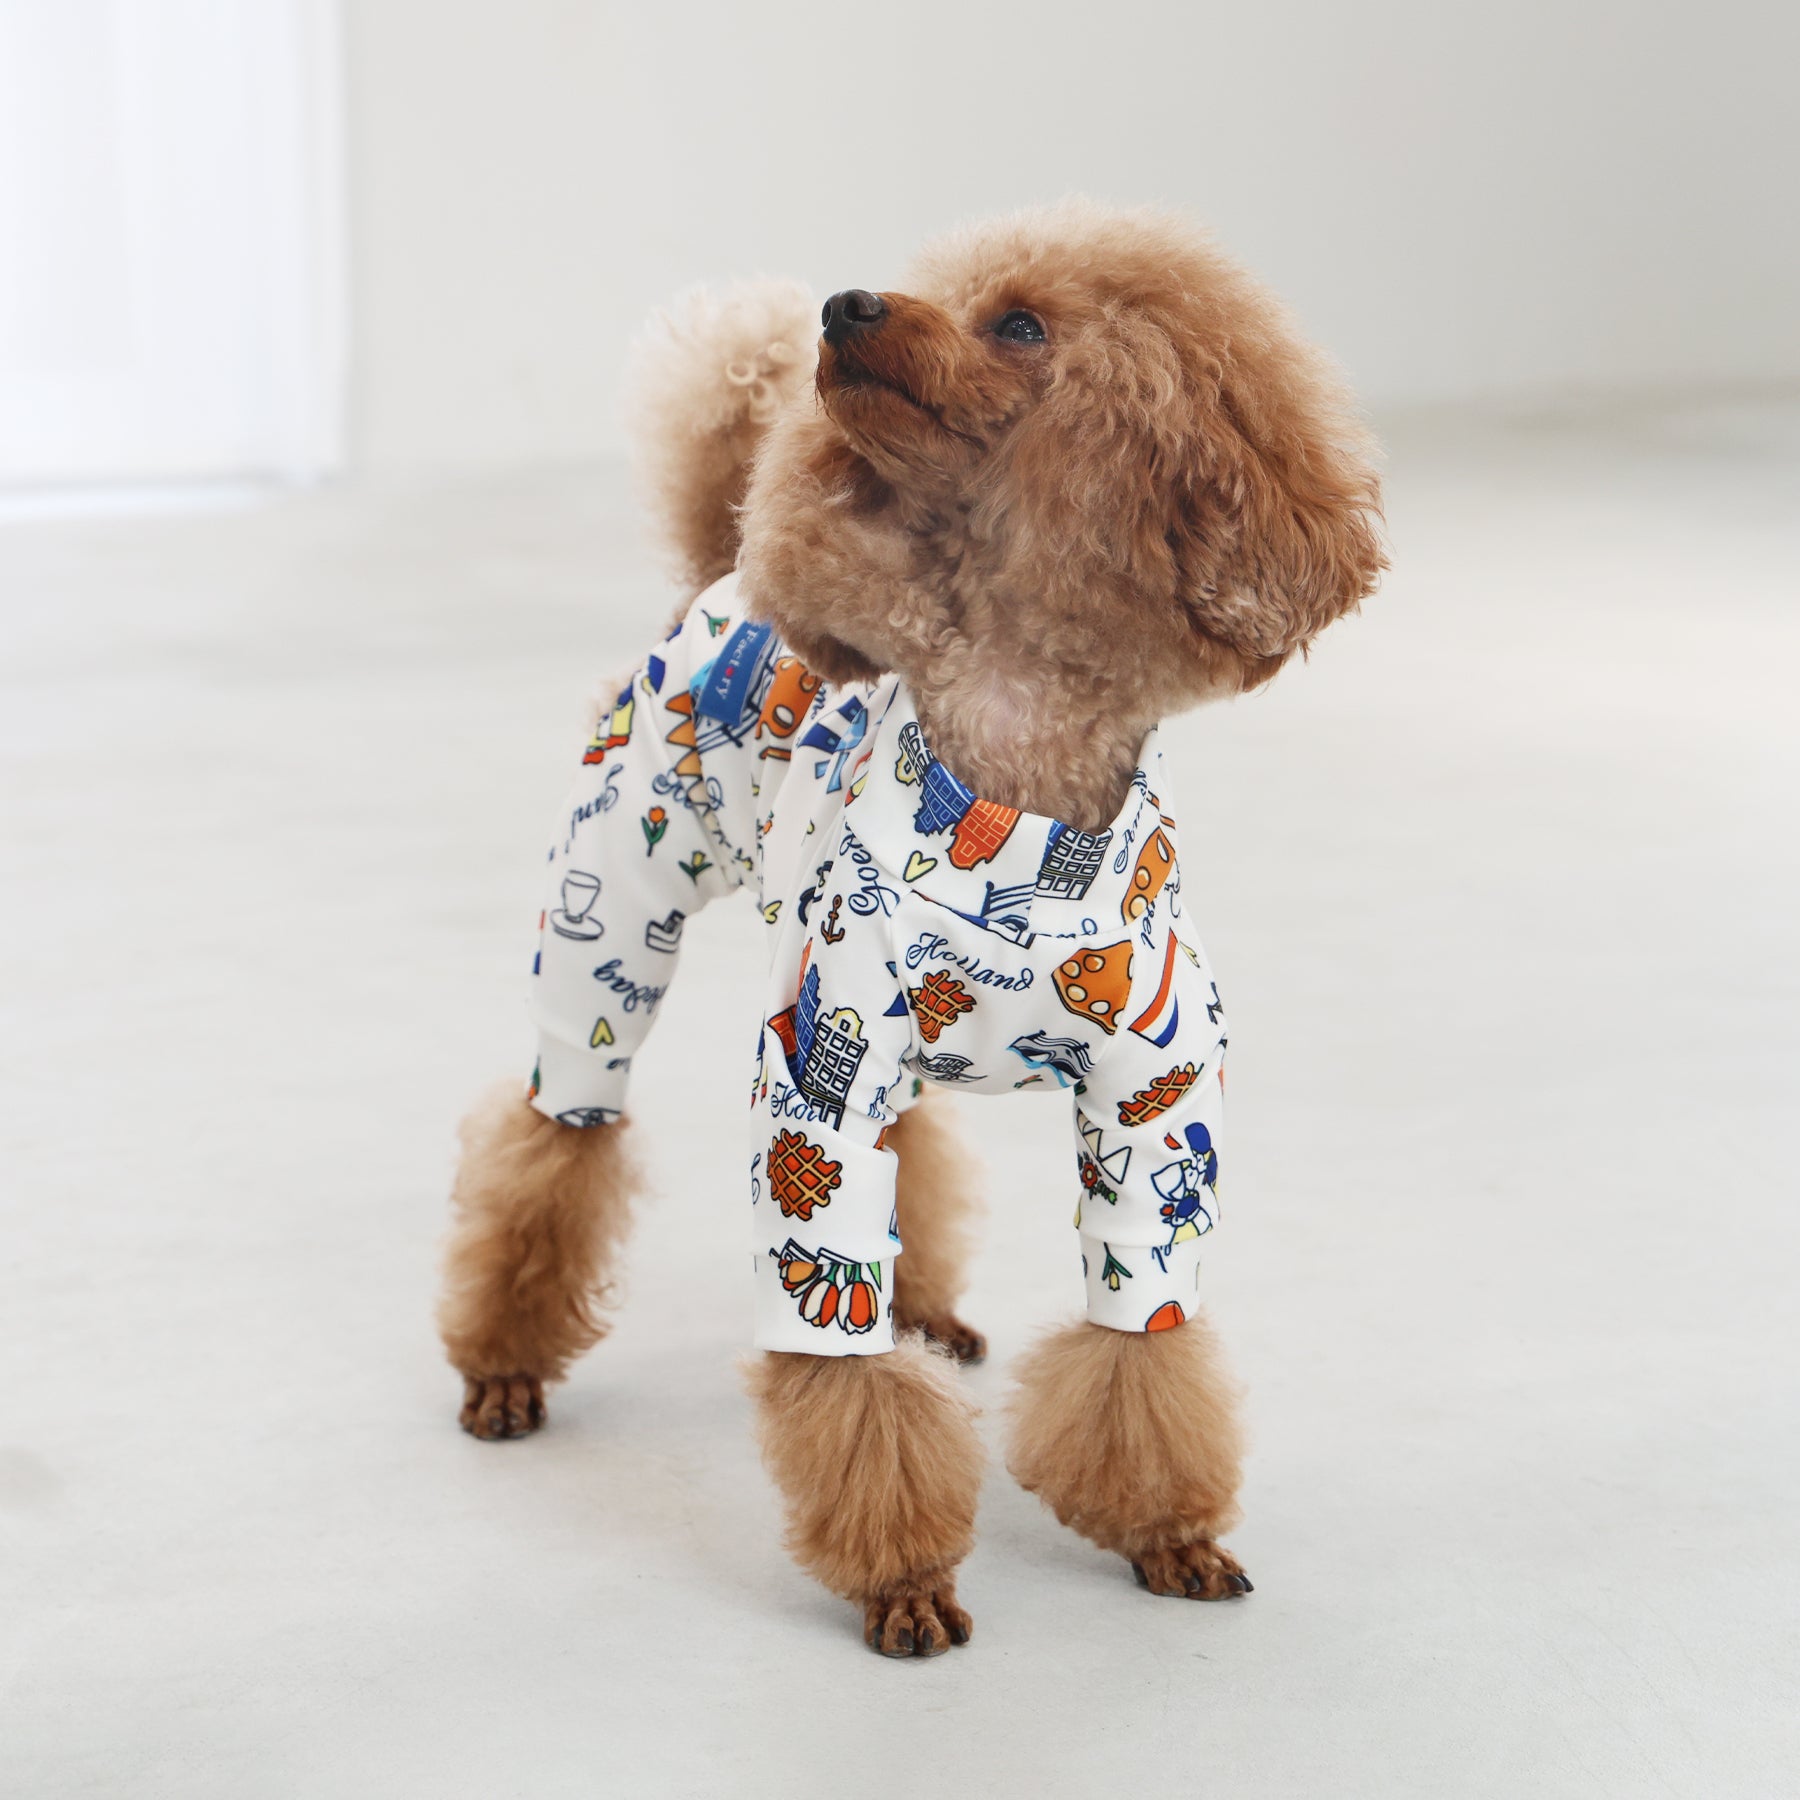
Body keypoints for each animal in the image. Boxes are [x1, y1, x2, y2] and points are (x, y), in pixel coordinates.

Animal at [438, 200, 1384, 1656]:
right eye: (941, 288)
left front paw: (1167, 1531)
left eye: (1023, 325)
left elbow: (1142, 1329)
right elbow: (844, 1360)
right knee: (555, 1133)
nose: (842, 307)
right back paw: (502, 1365)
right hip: (610, 911)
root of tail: (721, 568)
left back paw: (932, 1307)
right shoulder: (815, 1087)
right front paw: (904, 1579)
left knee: (920, 1146)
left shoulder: (1159, 1105)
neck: (1014, 793)